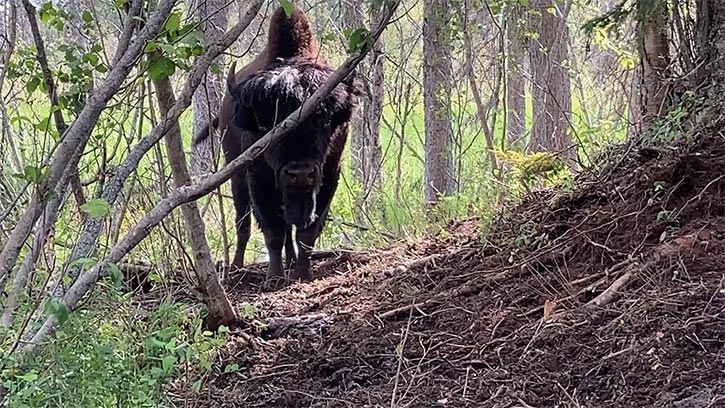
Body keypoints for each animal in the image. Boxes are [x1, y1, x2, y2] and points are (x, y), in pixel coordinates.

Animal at [194, 4, 358, 284]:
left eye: (326, 121)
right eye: (266, 124)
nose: (300, 173)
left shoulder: (328, 176)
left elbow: (306, 233)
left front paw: (303, 273)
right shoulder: (259, 179)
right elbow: (273, 231)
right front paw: (274, 277)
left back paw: (290, 262)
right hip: (236, 174)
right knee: (244, 222)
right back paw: (236, 266)